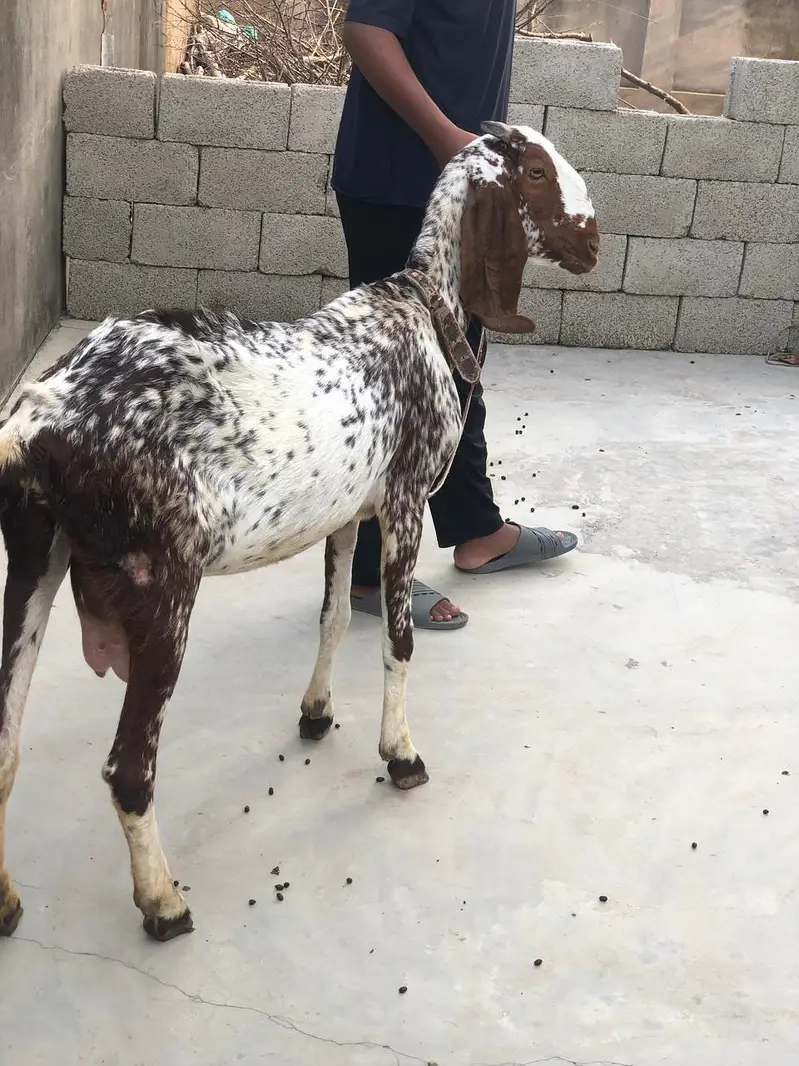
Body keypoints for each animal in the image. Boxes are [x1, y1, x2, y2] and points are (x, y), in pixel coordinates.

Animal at [0, 121, 598, 941]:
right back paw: (163, 902)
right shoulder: (404, 500)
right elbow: (398, 639)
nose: (594, 239)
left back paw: (7, 902)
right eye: (535, 171)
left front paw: (317, 713)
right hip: (163, 586)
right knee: (129, 768)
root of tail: (43, 415)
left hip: (36, 556)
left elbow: (335, 613)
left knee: (3, 742)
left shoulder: (348, 515)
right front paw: (401, 755)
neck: (421, 307)